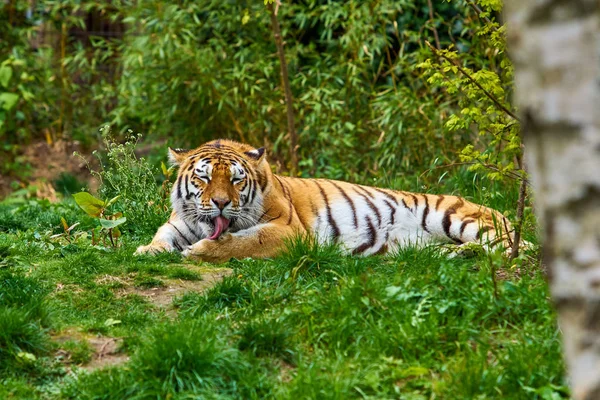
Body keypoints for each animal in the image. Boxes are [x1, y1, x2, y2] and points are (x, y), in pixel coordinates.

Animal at [135, 139, 516, 264]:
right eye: (203, 178)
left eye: (235, 179)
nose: (220, 203)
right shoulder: (179, 222)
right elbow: (162, 236)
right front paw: (147, 251)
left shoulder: (288, 231)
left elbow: (242, 242)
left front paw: (199, 251)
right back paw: (457, 254)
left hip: (456, 217)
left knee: (512, 249)